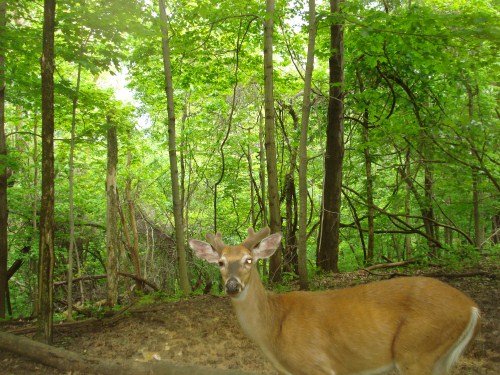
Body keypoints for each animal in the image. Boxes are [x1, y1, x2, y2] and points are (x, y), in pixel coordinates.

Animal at [188, 228, 480, 375]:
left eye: (250, 260)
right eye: (221, 263)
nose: (232, 286)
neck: (274, 328)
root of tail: (472, 307)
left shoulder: (317, 365)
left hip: (416, 350)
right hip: (435, 358)